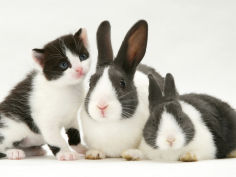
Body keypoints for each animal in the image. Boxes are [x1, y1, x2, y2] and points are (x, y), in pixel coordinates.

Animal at [0, 28, 91, 160]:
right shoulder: (45, 120)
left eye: (82, 57)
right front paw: (65, 153)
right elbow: (56, 139)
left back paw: (34, 150)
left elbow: (75, 133)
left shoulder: (72, 117)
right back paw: (14, 152)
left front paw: (81, 148)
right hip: (12, 128)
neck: (66, 87)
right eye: (63, 65)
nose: (79, 69)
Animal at [79, 19, 164, 160]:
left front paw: (132, 153)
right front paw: (94, 153)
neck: (110, 124)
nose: (101, 106)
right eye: (91, 82)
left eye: (122, 83)